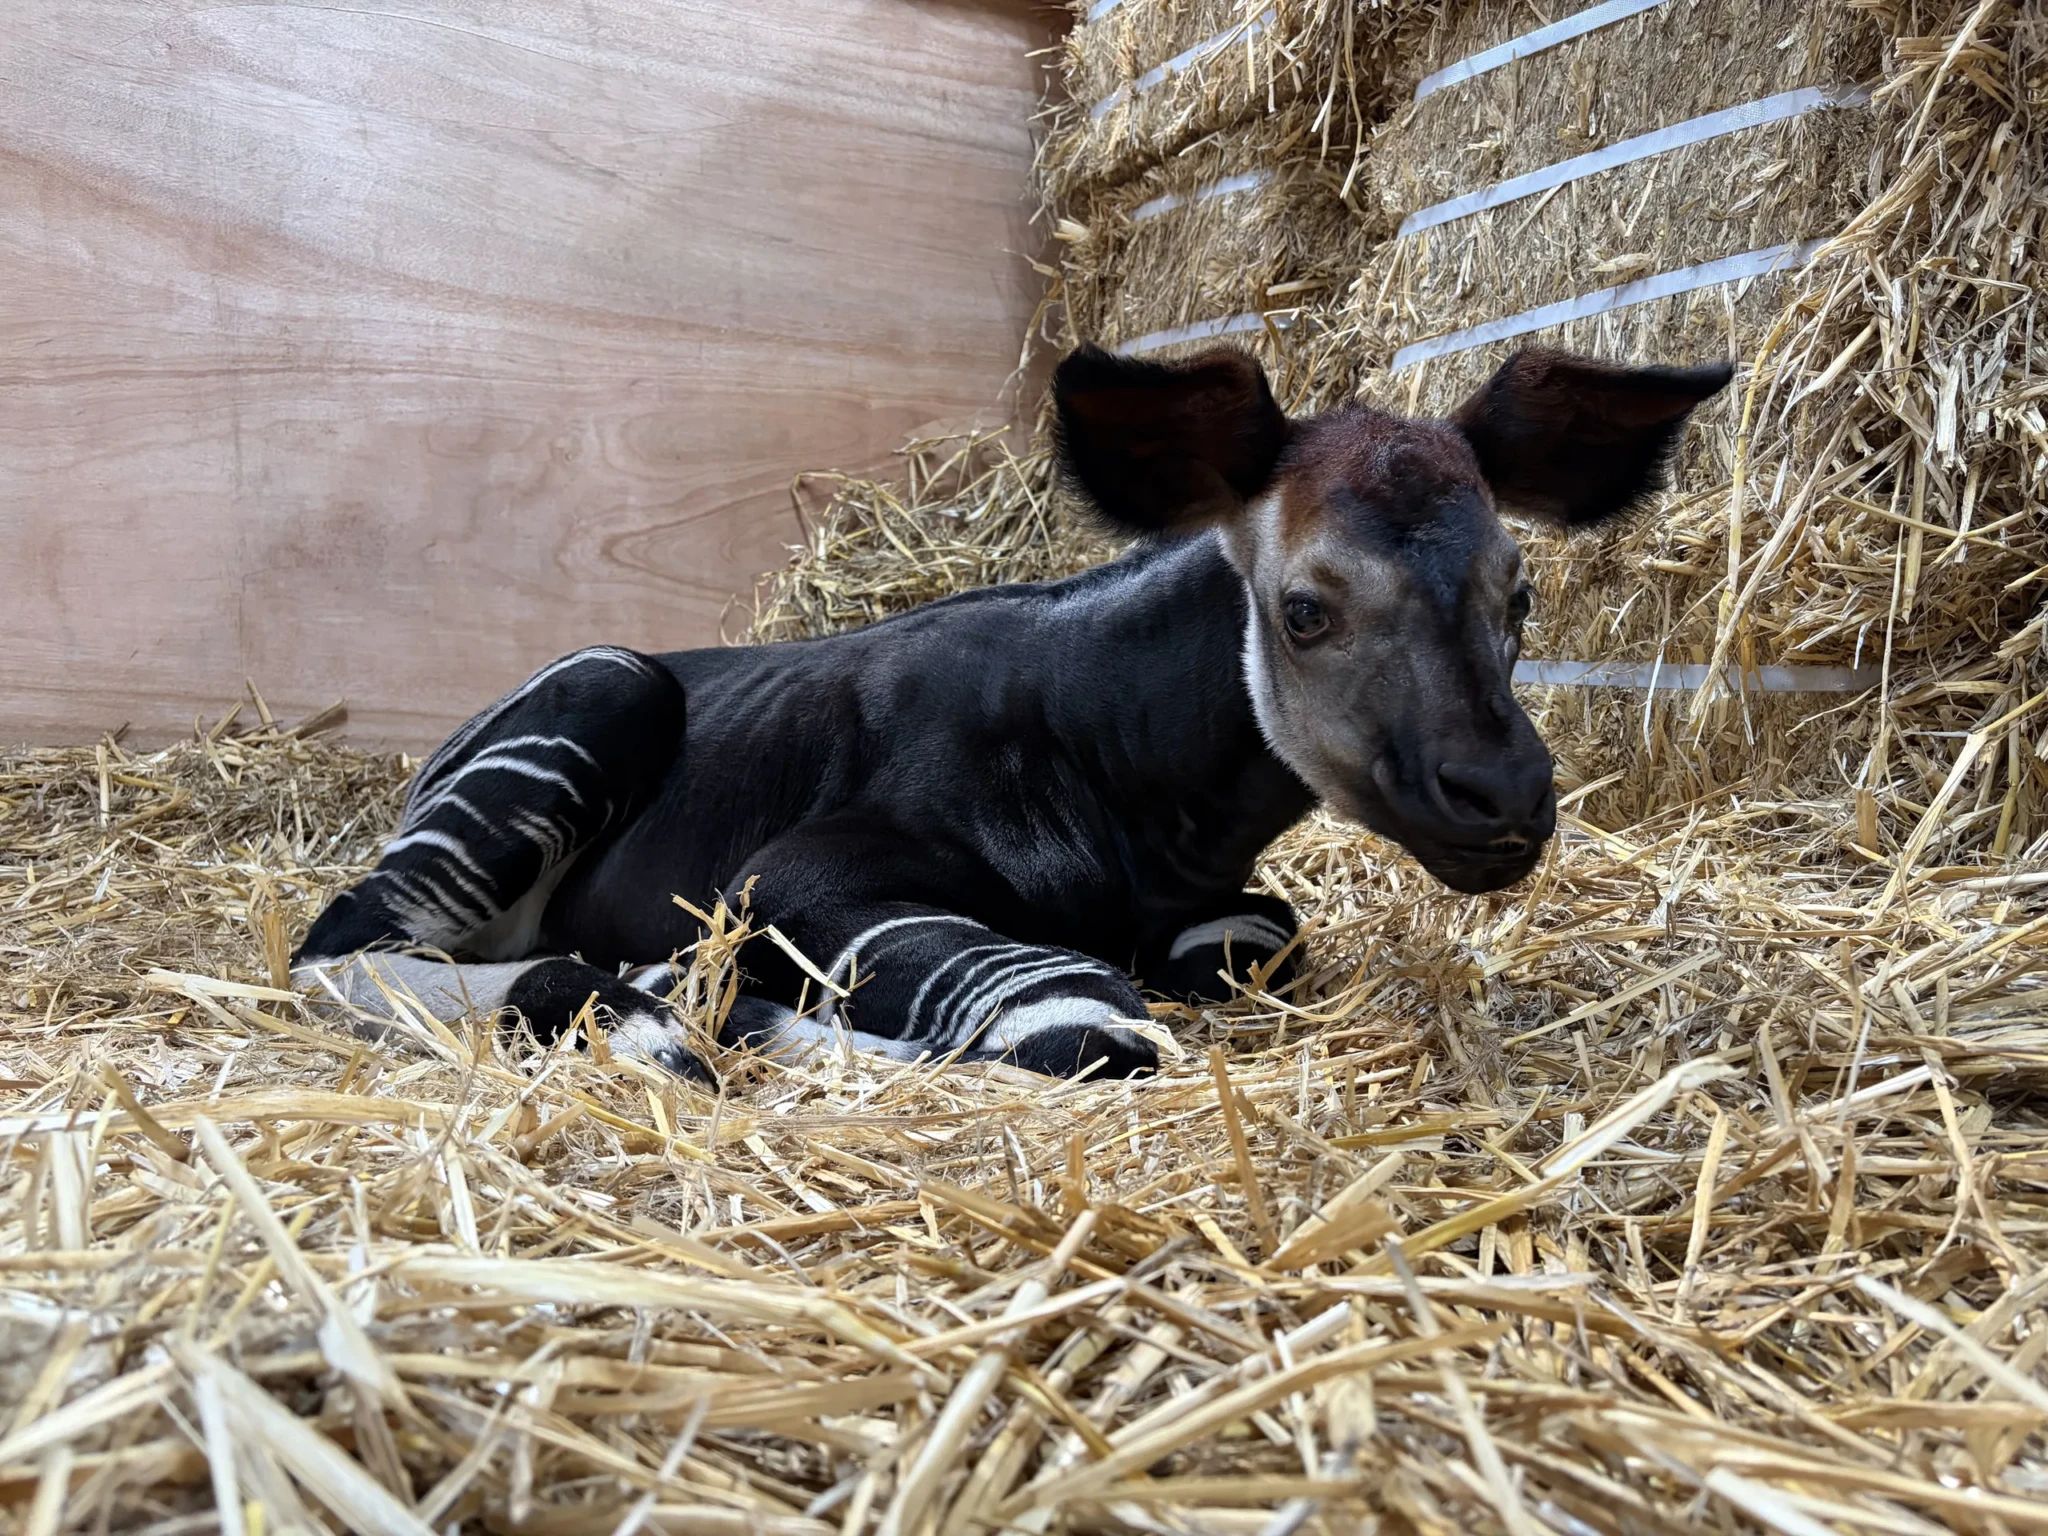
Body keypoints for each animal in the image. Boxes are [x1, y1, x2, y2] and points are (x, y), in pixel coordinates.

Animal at [294, 345, 1731, 1082]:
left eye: (1519, 594)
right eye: (1305, 609)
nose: (1507, 799)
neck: (1139, 790)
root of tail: (439, 747)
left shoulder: (1224, 912)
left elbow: (1251, 941)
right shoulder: (791, 878)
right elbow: (1078, 1011)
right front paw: (738, 1014)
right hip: (598, 694)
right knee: (338, 943)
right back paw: (644, 1007)